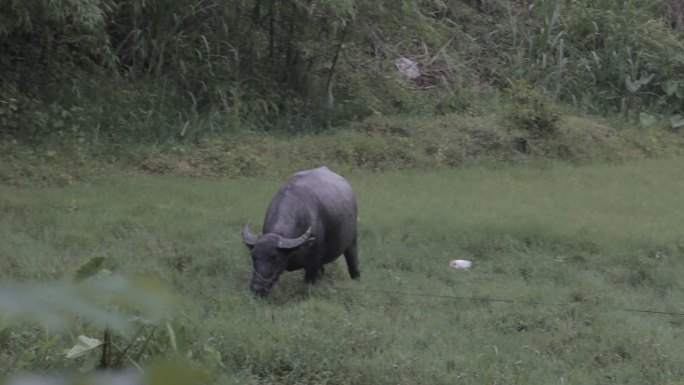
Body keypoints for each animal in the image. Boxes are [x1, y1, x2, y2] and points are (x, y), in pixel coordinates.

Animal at [239, 165, 358, 294]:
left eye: (274, 257)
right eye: (253, 256)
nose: (257, 287)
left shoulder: (312, 265)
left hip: (352, 243)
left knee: (354, 265)